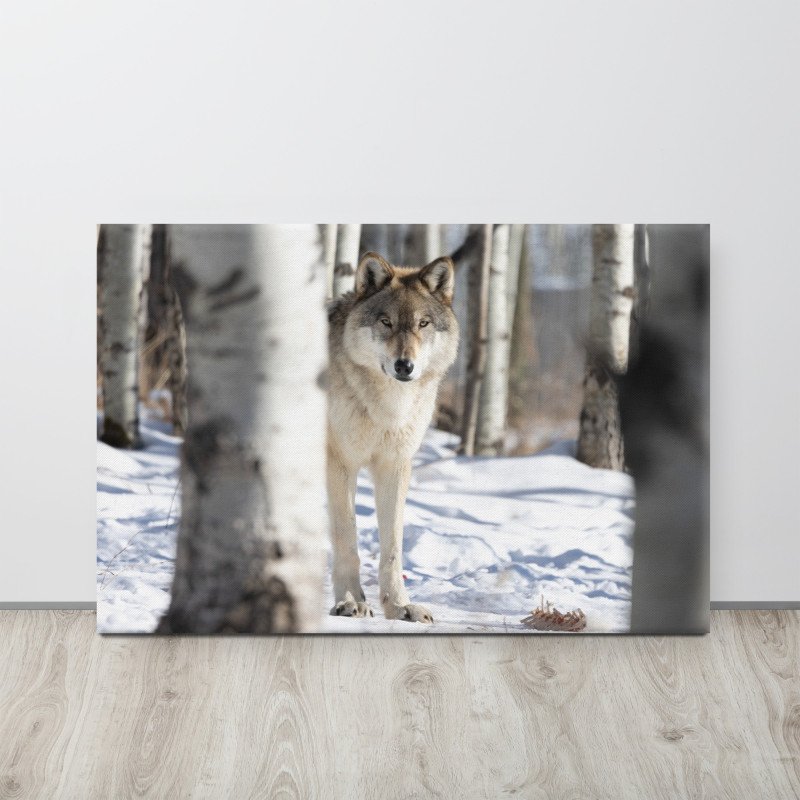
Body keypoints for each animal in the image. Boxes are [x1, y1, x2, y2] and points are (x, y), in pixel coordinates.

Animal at [327, 251, 459, 623]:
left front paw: (399, 606)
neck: (387, 406)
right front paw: (349, 601)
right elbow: (347, 539)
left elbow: (393, 549)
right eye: (385, 322)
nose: (405, 366)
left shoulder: (395, 466)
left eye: (423, 324)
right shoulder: (340, 464)